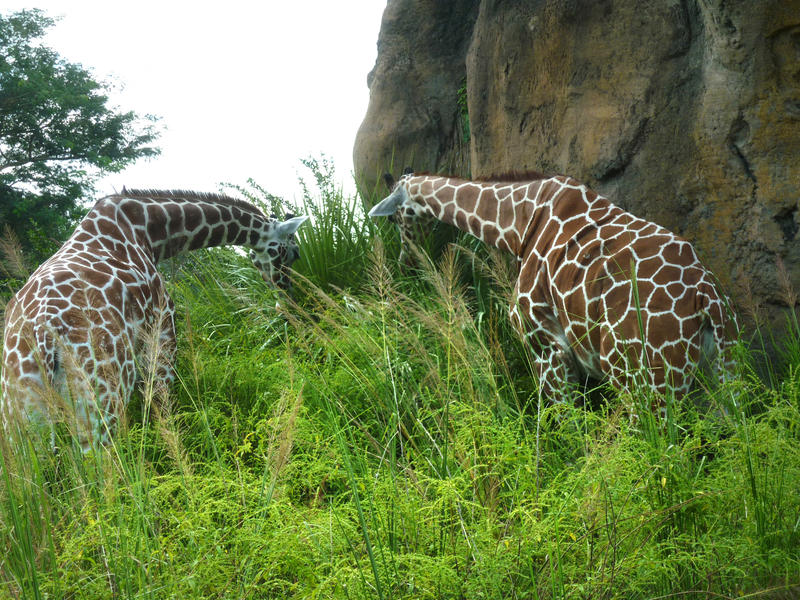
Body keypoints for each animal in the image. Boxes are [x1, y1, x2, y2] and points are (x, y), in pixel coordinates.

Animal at [1, 190, 308, 448]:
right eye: (293, 252)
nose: (289, 299)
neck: (150, 229)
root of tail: (43, 337)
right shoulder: (163, 326)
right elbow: (161, 405)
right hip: (102, 399)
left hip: (23, 419)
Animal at [368, 170, 736, 408]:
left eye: (393, 218)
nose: (406, 262)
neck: (517, 223)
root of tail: (707, 298)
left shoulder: (545, 344)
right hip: (721, 378)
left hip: (645, 384)